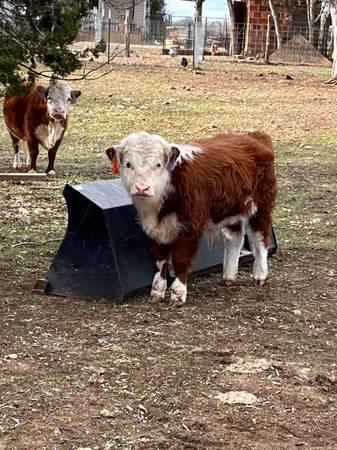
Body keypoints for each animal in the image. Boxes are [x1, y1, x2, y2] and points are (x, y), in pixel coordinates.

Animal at [106, 131, 276, 306]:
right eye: (128, 164)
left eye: (158, 165)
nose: (142, 188)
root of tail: (254, 136)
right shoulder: (155, 229)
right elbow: (160, 261)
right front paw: (157, 292)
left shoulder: (189, 228)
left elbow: (180, 260)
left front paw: (178, 294)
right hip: (231, 210)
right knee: (234, 238)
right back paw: (229, 276)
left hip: (260, 208)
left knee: (260, 238)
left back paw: (260, 275)